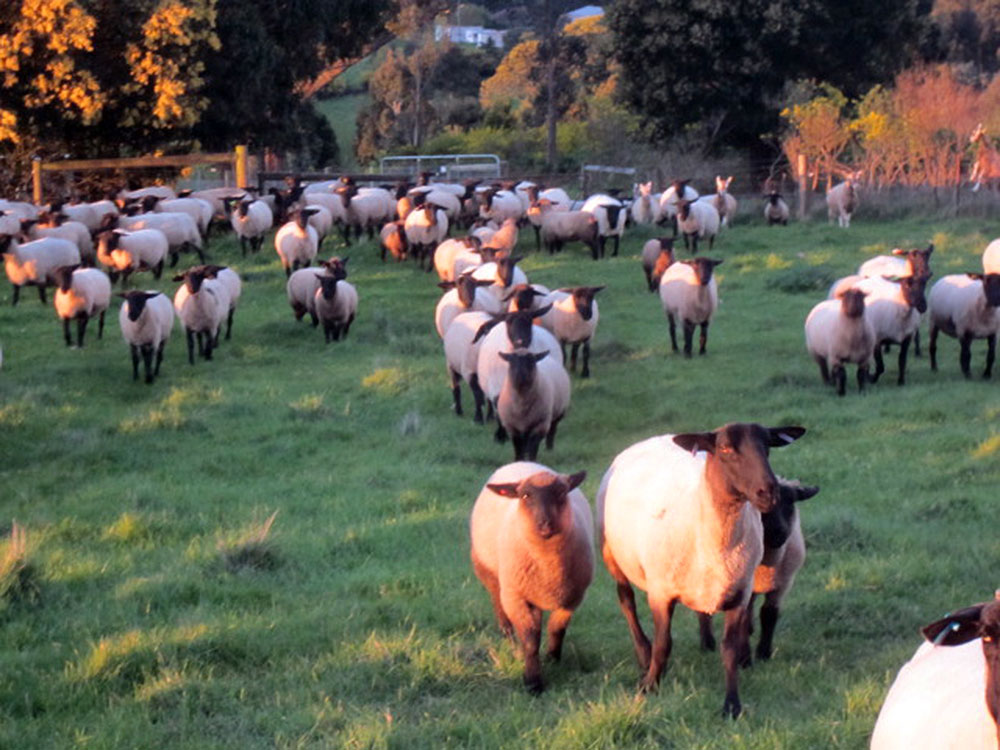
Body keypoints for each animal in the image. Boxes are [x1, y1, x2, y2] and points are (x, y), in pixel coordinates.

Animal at [469, 462, 592, 694]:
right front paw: (533, 681)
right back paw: (511, 644)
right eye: (525, 495)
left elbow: (556, 629)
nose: (545, 525)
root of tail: (521, 463)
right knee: (502, 615)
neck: (548, 565)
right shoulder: (515, 597)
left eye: (561, 492)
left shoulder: (573, 598)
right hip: (491, 576)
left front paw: (552, 658)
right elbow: (530, 639)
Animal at [597, 422, 806, 717]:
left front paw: (732, 705)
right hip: (612, 554)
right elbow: (664, 644)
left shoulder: (738, 593)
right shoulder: (661, 592)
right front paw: (650, 685)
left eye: (767, 445)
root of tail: (655, 438)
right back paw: (643, 655)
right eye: (725, 448)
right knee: (626, 601)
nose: (769, 493)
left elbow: (730, 650)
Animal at [694, 478, 820, 665]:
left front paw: (763, 653)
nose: (779, 532)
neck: (768, 562)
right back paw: (707, 643)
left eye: (790, 503)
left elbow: (769, 614)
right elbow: (743, 619)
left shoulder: (782, 584)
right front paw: (744, 659)